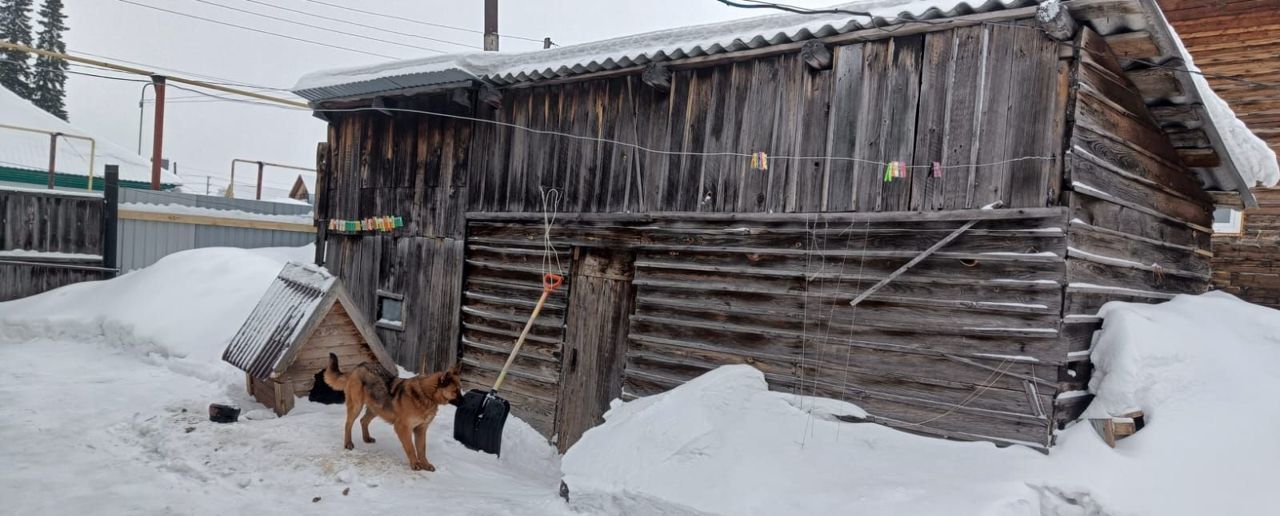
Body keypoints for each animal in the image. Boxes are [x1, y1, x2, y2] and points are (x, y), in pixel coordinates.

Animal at [322, 355, 463, 473]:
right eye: (456, 391)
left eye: (460, 389)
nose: (464, 402)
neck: (426, 394)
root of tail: (358, 366)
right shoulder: (403, 428)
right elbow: (411, 447)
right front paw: (415, 463)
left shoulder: (421, 429)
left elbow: (422, 449)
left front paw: (425, 464)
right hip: (357, 406)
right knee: (348, 424)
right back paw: (348, 443)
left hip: (377, 408)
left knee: (363, 421)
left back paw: (366, 438)